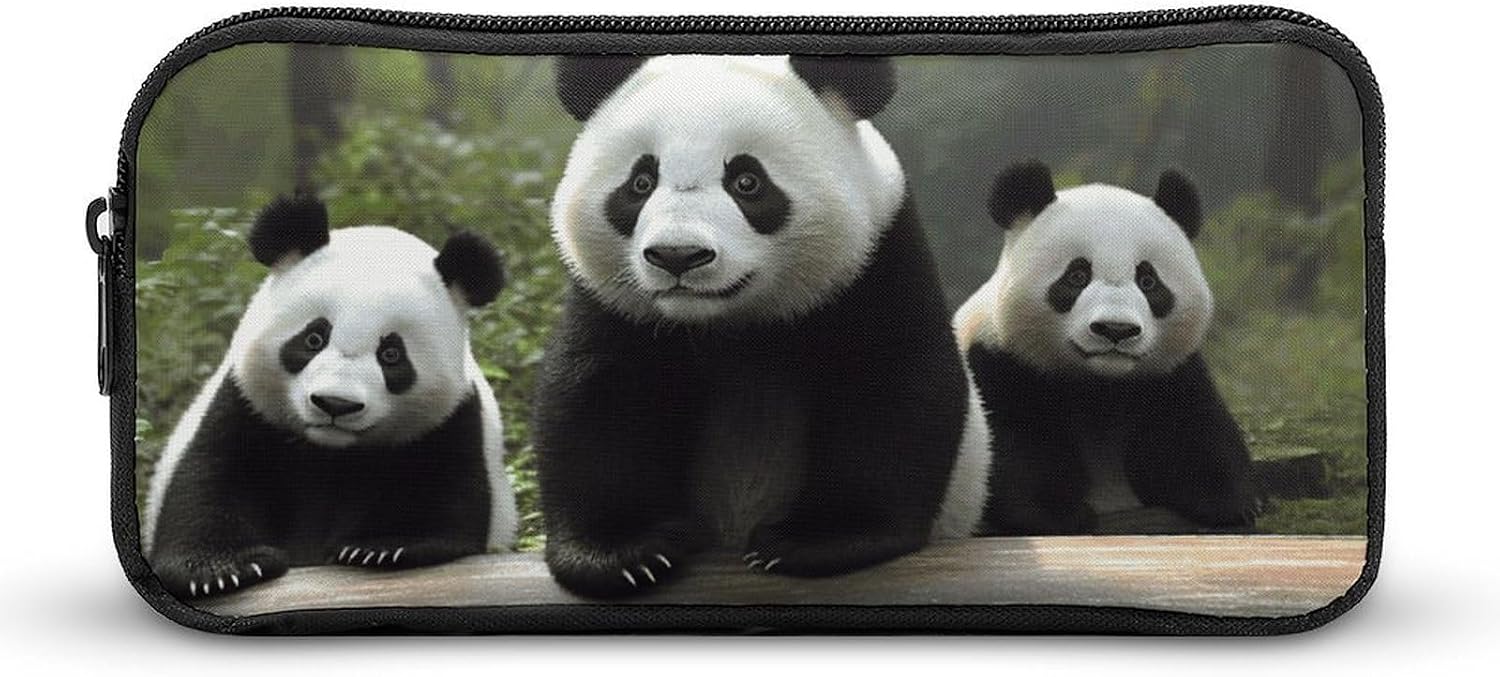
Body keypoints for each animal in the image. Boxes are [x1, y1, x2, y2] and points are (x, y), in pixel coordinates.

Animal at [141, 194, 516, 599]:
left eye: (391, 354)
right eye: (313, 338)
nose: (336, 404)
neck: (333, 453)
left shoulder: (452, 421)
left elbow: (443, 497)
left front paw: (384, 547)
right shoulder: (246, 406)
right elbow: (210, 484)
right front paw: (221, 569)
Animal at [535, 54, 992, 598]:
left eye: (747, 182)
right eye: (640, 183)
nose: (678, 255)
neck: (731, 325)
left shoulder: (876, 264)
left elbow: (891, 387)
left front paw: (820, 539)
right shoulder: (618, 309)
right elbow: (599, 400)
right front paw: (620, 553)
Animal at [954, 161, 1257, 536]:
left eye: (1148, 281)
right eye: (1076, 276)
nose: (1116, 329)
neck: (1099, 385)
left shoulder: (1170, 377)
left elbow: (1193, 431)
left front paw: (1230, 502)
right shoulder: (998, 363)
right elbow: (1013, 443)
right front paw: (1060, 514)